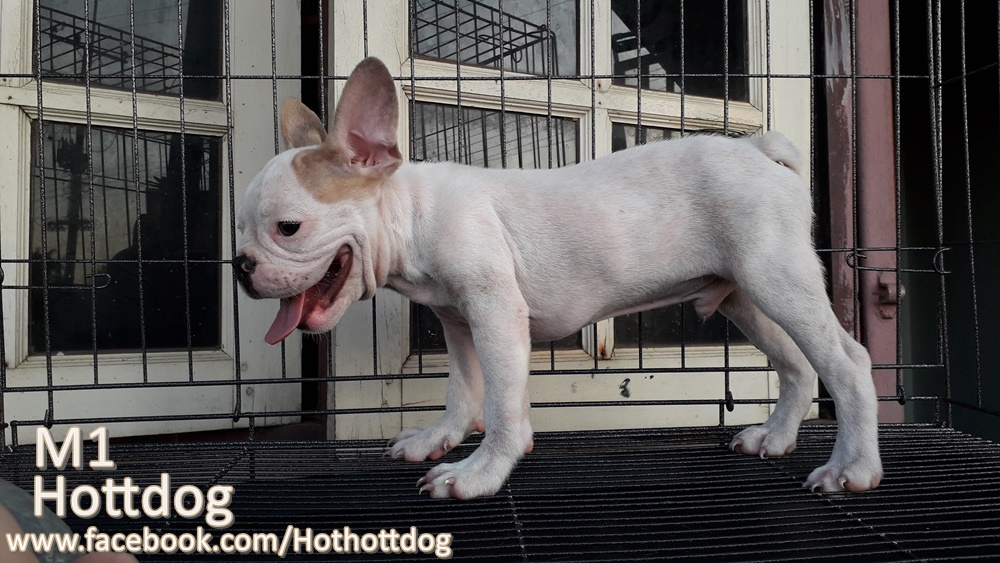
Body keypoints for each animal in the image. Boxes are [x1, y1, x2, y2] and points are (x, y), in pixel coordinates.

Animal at [235, 57, 883, 499]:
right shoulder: (460, 322)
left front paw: (480, 472)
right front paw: (439, 438)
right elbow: (464, 389)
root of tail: (758, 150)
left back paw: (853, 467)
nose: (241, 266)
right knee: (797, 364)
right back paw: (775, 437)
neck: (413, 210)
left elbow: (500, 403)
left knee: (846, 361)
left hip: (776, 277)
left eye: (288, 228)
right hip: (744, 296)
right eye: (238, 230)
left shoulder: (495, 312)